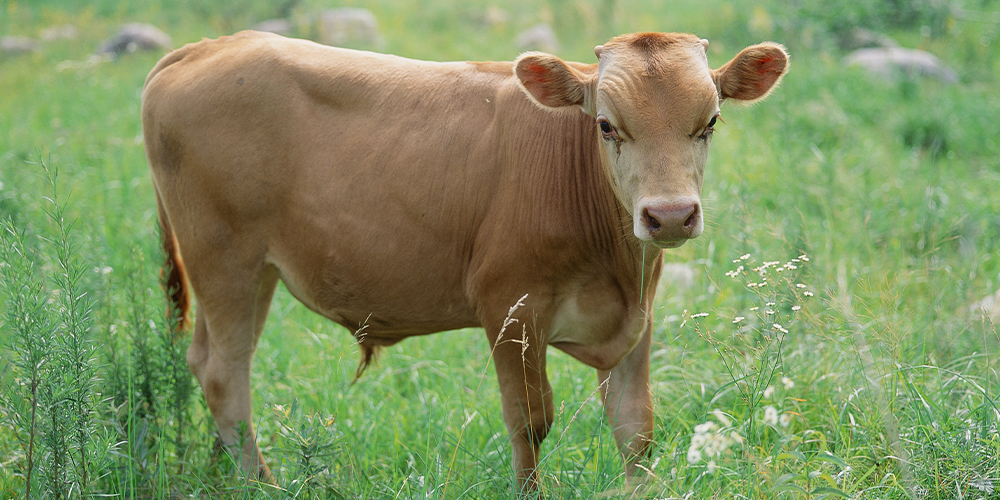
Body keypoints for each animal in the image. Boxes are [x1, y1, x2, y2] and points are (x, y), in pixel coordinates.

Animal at [141, 30, 784, 488]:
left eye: (710, 122)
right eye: (606, 126)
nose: (669, 216)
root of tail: (210, 46)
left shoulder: (636, 322)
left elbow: (637, 429)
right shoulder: (510, 307)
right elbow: (529, 423)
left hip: (250, 273)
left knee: (208, 363)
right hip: (225, 260)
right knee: (225, 374)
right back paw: (260, 483)